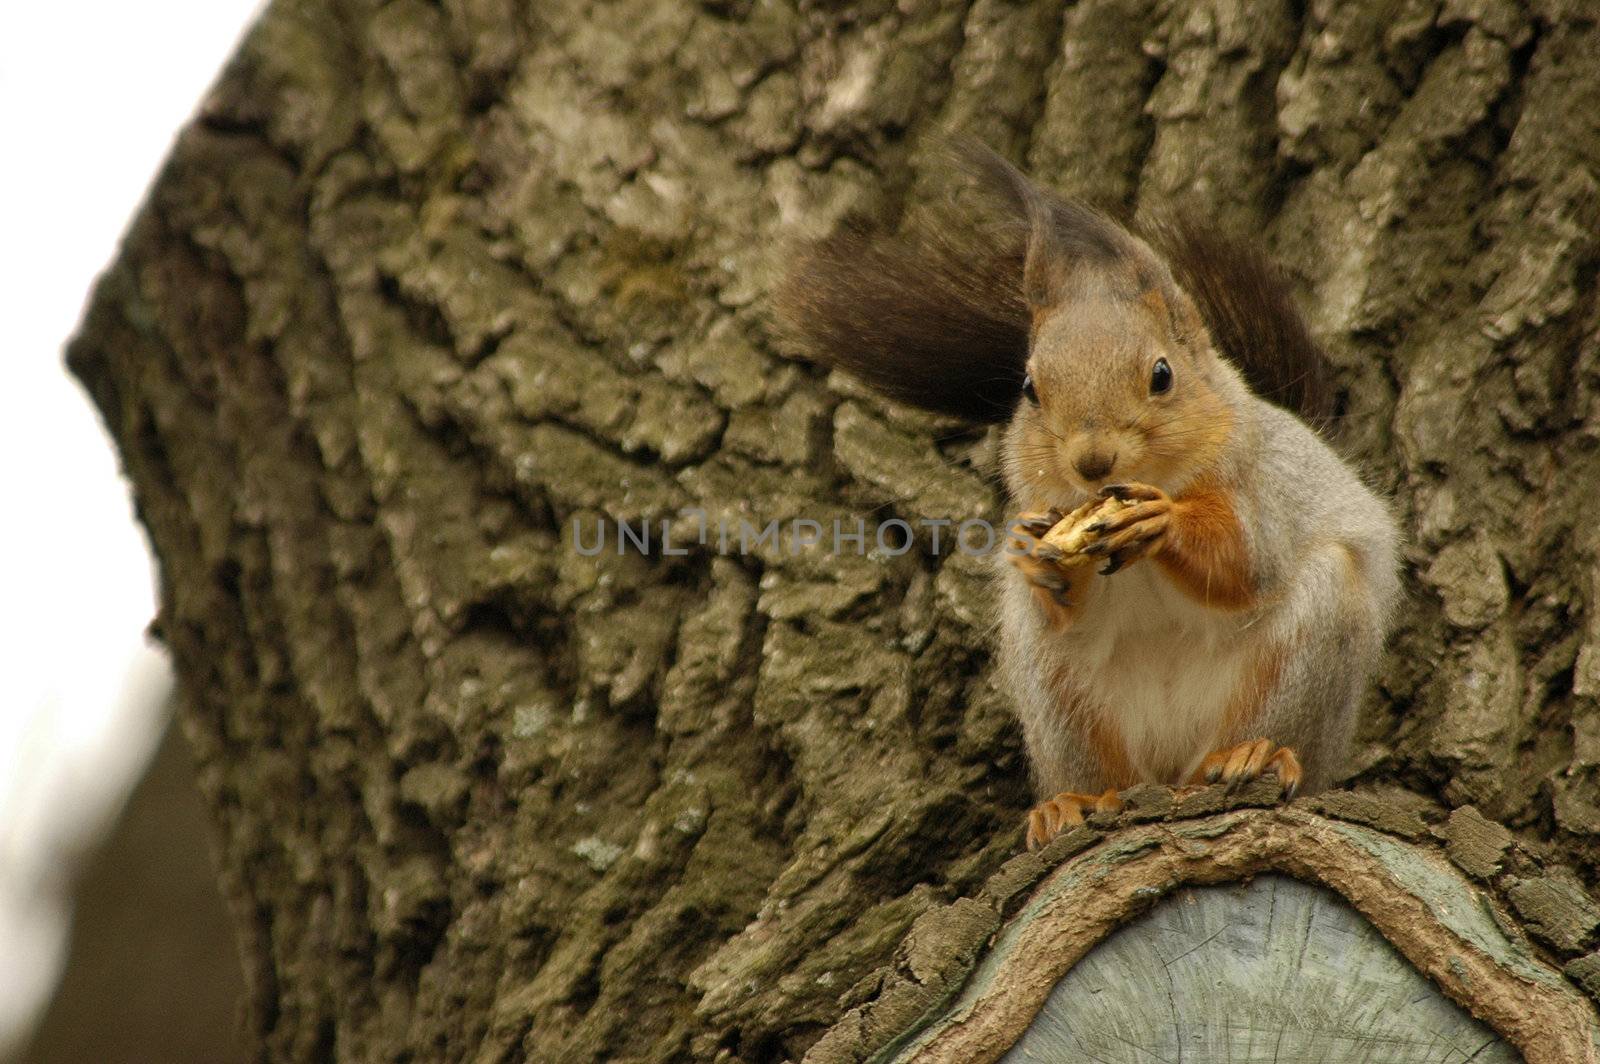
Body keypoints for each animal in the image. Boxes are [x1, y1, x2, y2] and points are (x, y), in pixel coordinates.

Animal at [777, 145, 1401, 851]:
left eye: (1162, 375)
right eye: (1028, 389)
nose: (1091, 461)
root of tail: (1170, 766)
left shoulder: (1263, 487)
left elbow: (1248, 562)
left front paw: (1164, 522)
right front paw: (1032, 553)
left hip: (1312, 644)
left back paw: (1254, 755)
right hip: (1056, 687)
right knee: (1106, 768)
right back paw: (1073, 802)